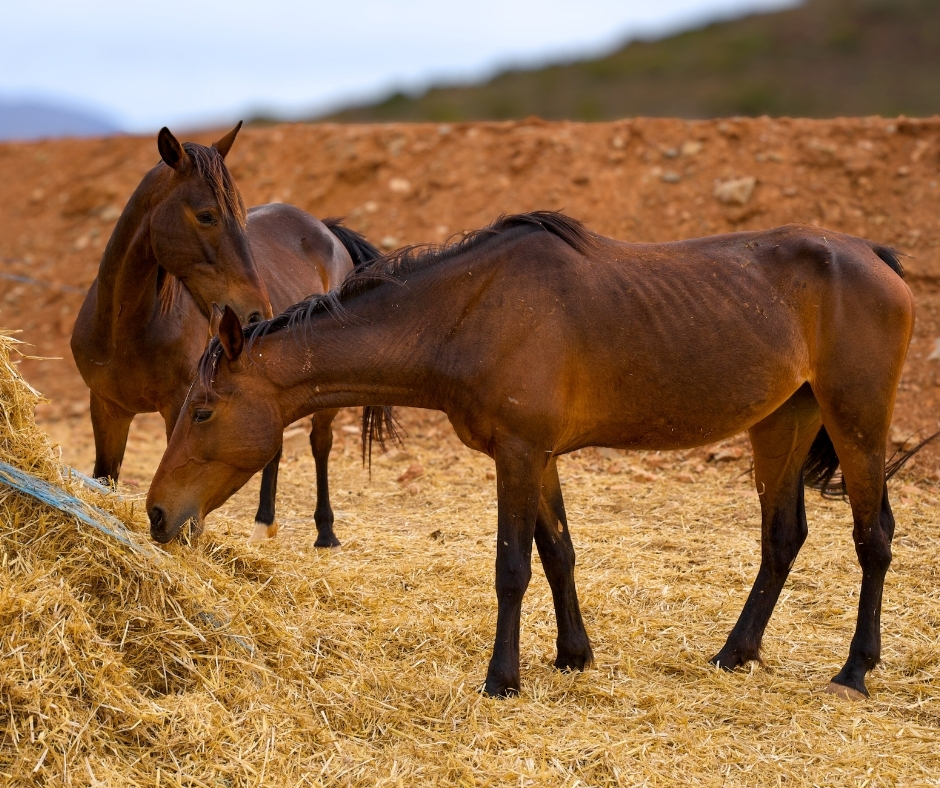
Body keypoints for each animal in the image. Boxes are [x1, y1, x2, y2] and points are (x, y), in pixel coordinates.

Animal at [71, 123, 381, 545]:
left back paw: (324, 532)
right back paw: (264, 525)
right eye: (206, 216)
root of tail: (326, 230)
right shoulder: (106, 408)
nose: (257, 312)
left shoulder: (182, 408)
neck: (126, 330)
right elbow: (106, 478)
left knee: (320, 443)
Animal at [147, 211, 916, 701]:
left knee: (872, 538)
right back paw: (735, 652)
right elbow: (559, 554)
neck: (470, 313)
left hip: (856, 422)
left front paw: (502, 678)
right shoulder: (539, 457)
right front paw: (574, 655)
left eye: (203, 410)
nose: (156, 514)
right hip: (783, 422)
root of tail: (874, 257)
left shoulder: (517, 455)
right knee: (783, 537)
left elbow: (512, 567)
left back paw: (854, 672)